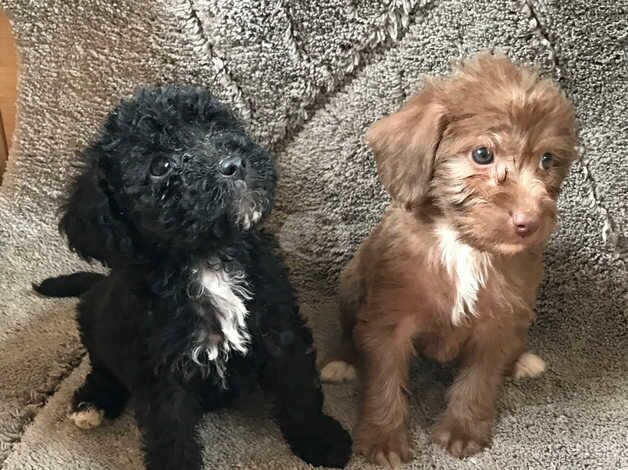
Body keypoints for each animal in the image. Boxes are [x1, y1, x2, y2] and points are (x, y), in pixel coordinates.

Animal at [35, 84, 354, 470]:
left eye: (215, 125)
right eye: (160, 166)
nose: (232, 164)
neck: (207, 258)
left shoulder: (278, 325)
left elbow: (297, 388)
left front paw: (320, 441)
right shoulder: (161, 369)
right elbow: (171, 433)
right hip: (96, 329)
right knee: (102, 369)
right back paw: (92, 403)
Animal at [322, 52, 576, 466]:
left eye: (547, 160)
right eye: (482, 154)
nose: (530, 222)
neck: (464, 246)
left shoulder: (497, 323)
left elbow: (478, 381)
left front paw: (462, 429)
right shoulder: (387, 322)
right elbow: (383, 382)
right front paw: (382, 439)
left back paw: (521, 360)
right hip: (351, 283)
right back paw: (341, 361)